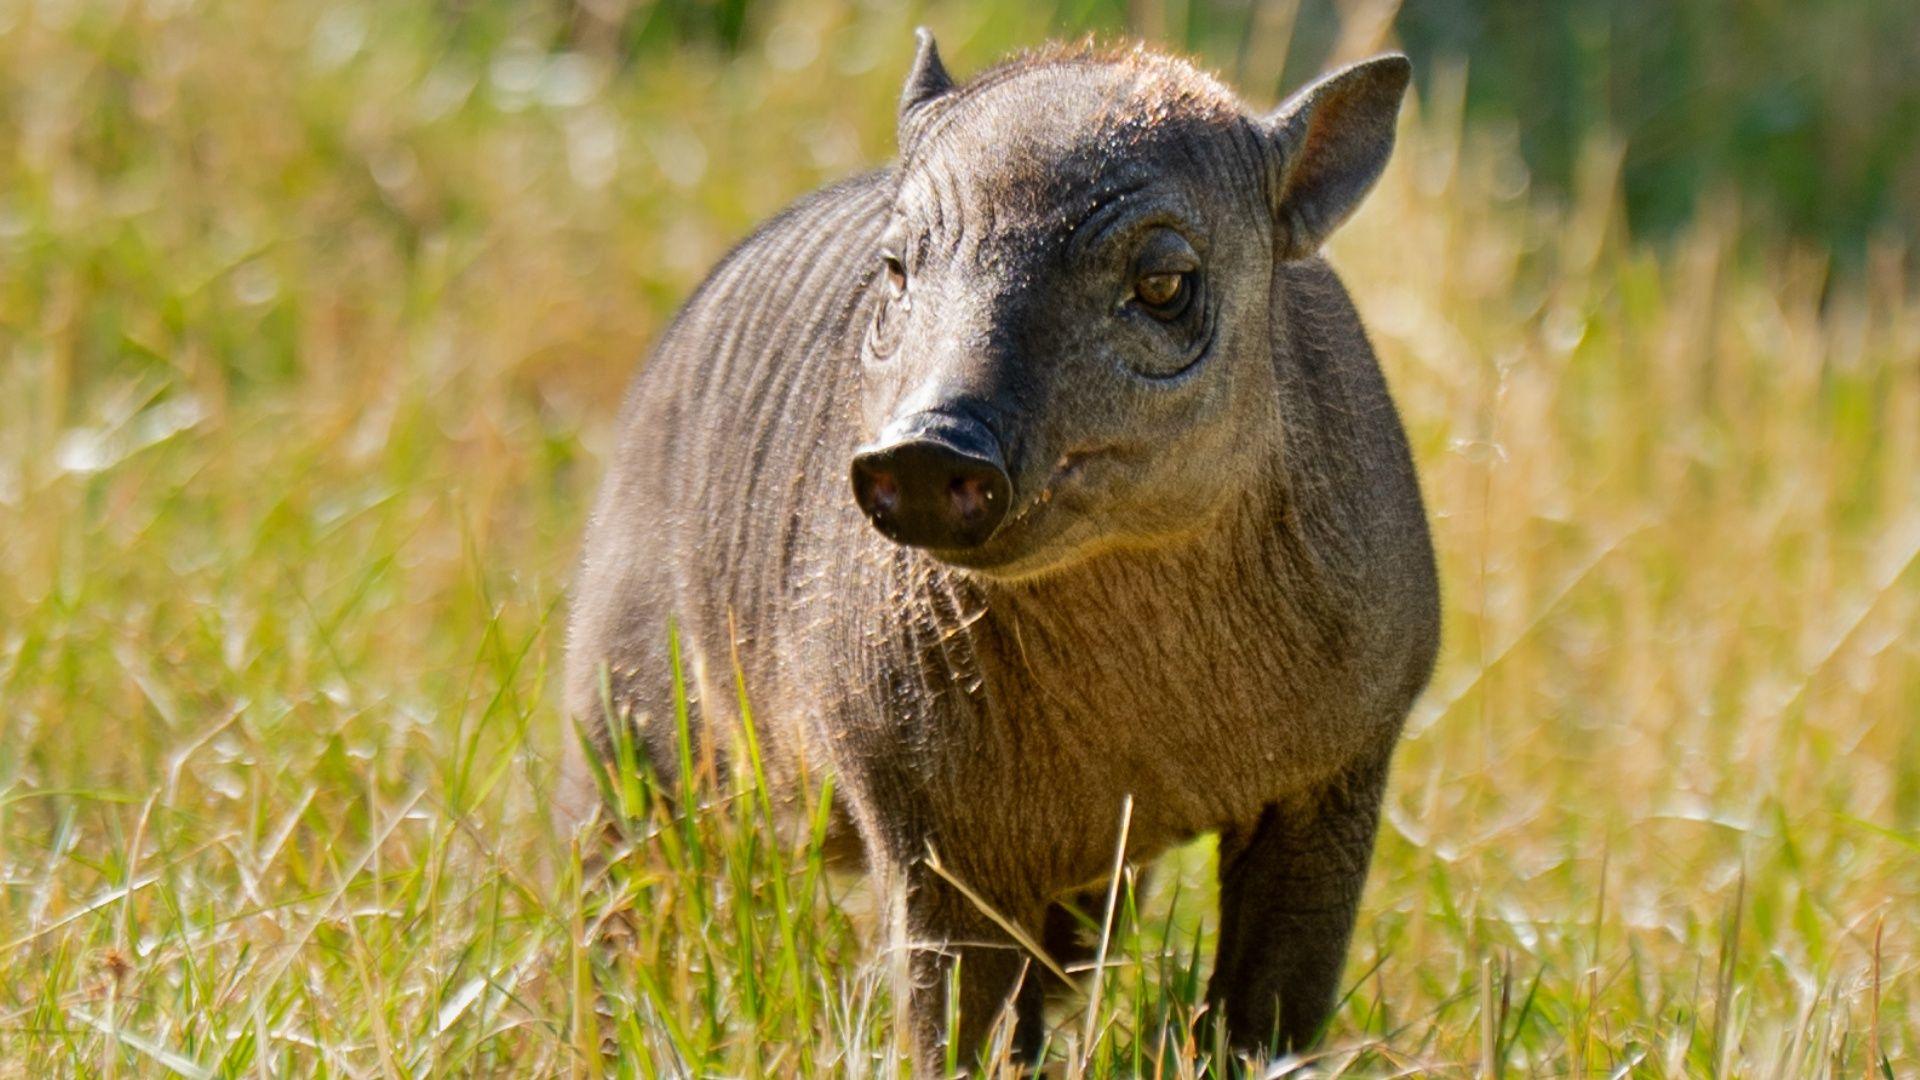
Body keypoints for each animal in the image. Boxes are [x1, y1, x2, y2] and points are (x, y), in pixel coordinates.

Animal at [561, 30, 1439, 1070]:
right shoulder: (929, 833)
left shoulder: (1338, 782)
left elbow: (1268, 1019)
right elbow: (952, 1030)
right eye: (897, 268)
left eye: (1164, 284)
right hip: (621, 734)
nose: (929, 449)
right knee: (610, 898)